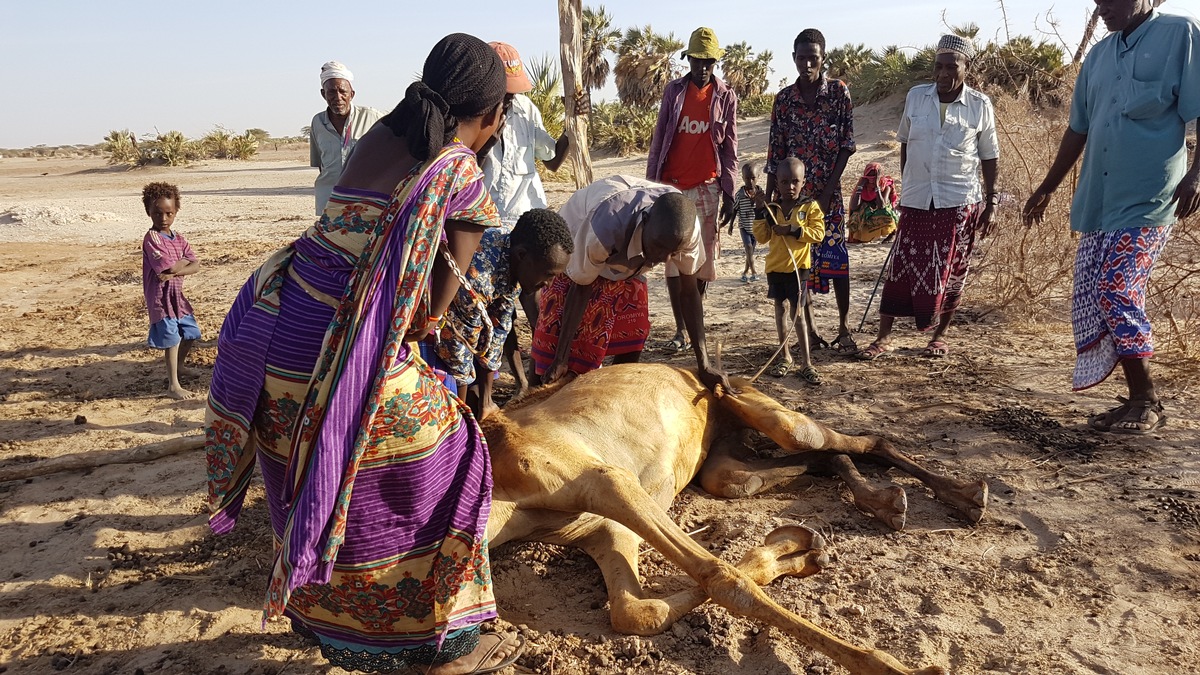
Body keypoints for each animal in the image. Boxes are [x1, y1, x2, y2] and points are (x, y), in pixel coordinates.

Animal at [477, 362, 984, 672]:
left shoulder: (607, 482)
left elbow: (721, 577)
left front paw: (895, 666)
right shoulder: (603, 529)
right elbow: (638, 613)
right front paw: (795, 552)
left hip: (772, 416)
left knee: (857, 441)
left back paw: (964, 494)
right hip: (724, 465)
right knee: (810, 462)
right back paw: (884, 502)